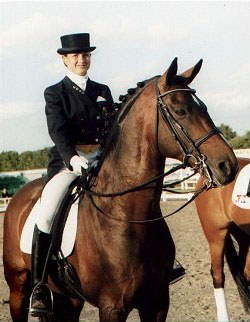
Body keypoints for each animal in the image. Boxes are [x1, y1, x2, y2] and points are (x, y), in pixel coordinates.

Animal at [3, 58, 238, 322]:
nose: (228, 165)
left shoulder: (157, 303)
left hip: (68, 299)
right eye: (180, 111)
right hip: (17, 287)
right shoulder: (112, 306)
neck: (127, 214)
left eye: (204, 107)